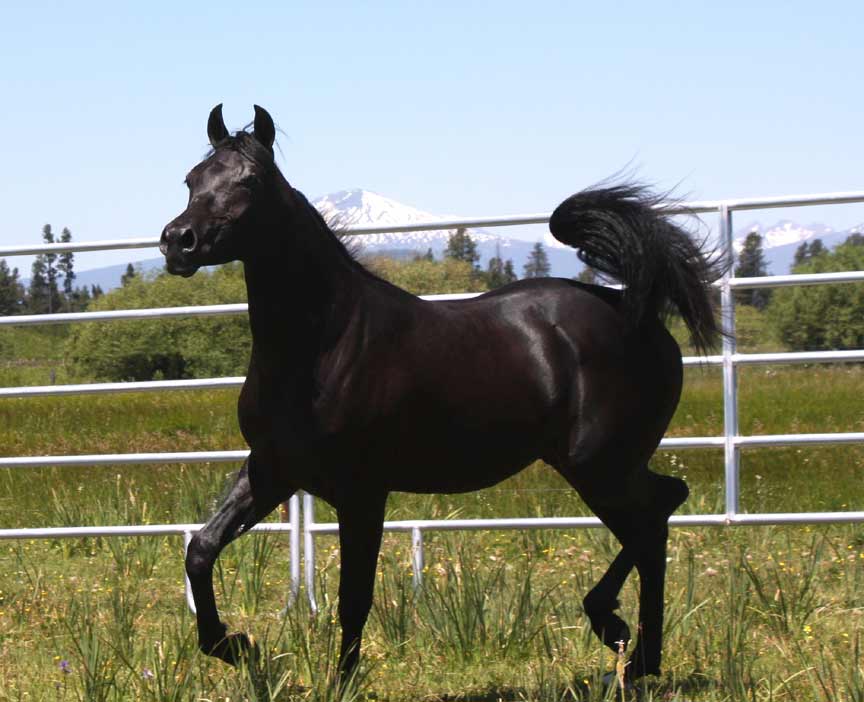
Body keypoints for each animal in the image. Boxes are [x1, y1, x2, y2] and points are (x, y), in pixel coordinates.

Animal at [160, 106, 724, 688]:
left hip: (599, 465)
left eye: (250, 180)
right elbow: (200, 550)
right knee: (662, 508)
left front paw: (340, 682)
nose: (178, 241)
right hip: (603, 466)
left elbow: (353, 598)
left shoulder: (362, 492)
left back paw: (618, 635)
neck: (325, 343)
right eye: (192, 180)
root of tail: (639, 311)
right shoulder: (272, 470)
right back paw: (633, 655)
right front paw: (235, 646)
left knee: (653, 518)